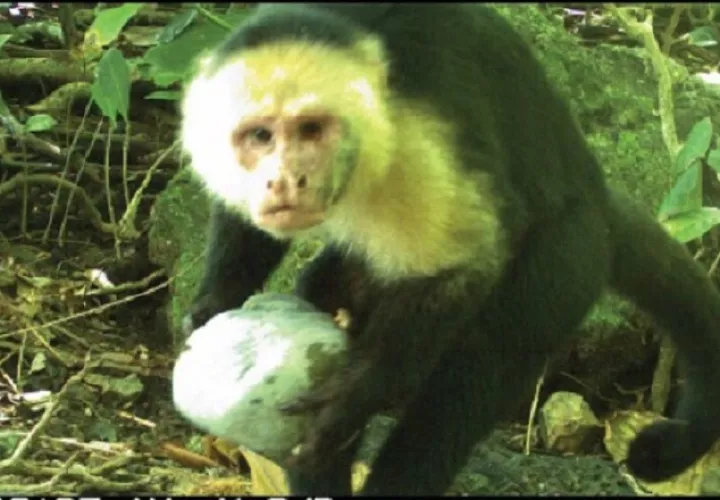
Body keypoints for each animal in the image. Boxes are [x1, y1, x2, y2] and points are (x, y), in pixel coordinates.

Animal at [179, 3, 720, 495]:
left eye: (311, 129)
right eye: (259, 135)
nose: (285, 180)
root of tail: (595, 191)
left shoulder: (413, 136)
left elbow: (467, 261)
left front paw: (362, 389)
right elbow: (242, 220)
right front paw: (214, 302)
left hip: (570, 253)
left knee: (477, 367)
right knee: (327, 286)